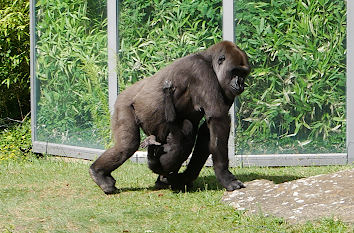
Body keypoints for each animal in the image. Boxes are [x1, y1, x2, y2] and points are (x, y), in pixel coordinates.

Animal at [90, 41, 253, 194]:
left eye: (243, 73)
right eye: (235, 71)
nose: (240, 84)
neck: (209, 61)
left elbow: (208, 130)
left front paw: (185, 178)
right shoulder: (200, 72)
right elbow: (218, 119)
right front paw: (225, 175)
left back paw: (163, 177)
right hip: (123, 104)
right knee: (127, 145)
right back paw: (99, 174)